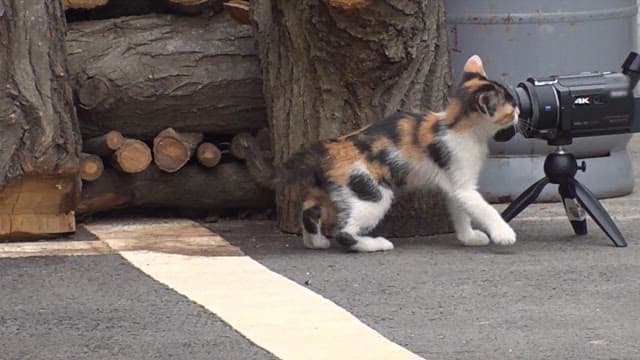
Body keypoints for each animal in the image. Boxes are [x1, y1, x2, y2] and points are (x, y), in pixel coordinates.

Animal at [242, 55, 516, 253]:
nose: (518, 114)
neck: (457, 125)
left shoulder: (453, 183)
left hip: (335, 189)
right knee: (344, 232)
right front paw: (503, 233)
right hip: (372, 193)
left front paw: (468, 237)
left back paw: (315, 242)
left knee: (309, 210)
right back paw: (374, 244)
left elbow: (460, 210)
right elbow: (482, 207)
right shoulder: (463, 182)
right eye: (511, 109)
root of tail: (329, 146)